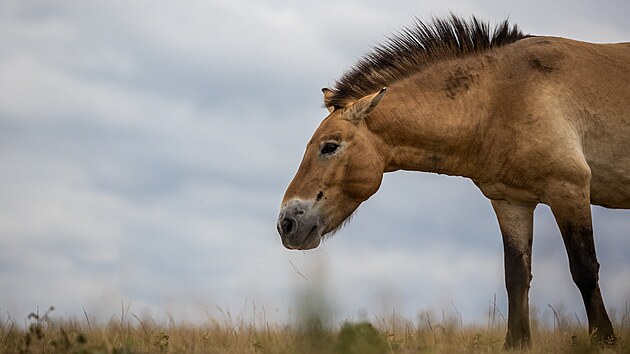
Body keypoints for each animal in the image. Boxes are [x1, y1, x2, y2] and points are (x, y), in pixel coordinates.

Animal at [278, 14, 628, 348]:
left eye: (330, 146)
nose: (286, 223)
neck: (501, 97)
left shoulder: (568, 188)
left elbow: (584, 268)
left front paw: (604, 339)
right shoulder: (512, 202)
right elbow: (516, 277)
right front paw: (516, 342)